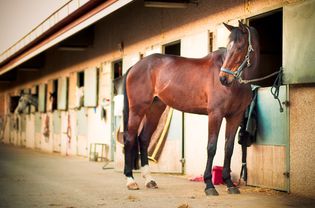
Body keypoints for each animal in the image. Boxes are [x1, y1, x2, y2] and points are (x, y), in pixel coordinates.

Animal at [123, 21, 260, 195]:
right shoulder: (215, 114)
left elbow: (228, 148)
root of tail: (135, 66)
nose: (223, 78)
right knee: (130, 138)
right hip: (138, 109)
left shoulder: (235, 116)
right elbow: (211, 147)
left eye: (241, 47)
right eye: (228, 47)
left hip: (155, 109)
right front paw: (209, 185)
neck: (237, 84)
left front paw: (230, 184)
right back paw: (130, 180)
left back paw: (149, 180)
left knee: (144, 139)